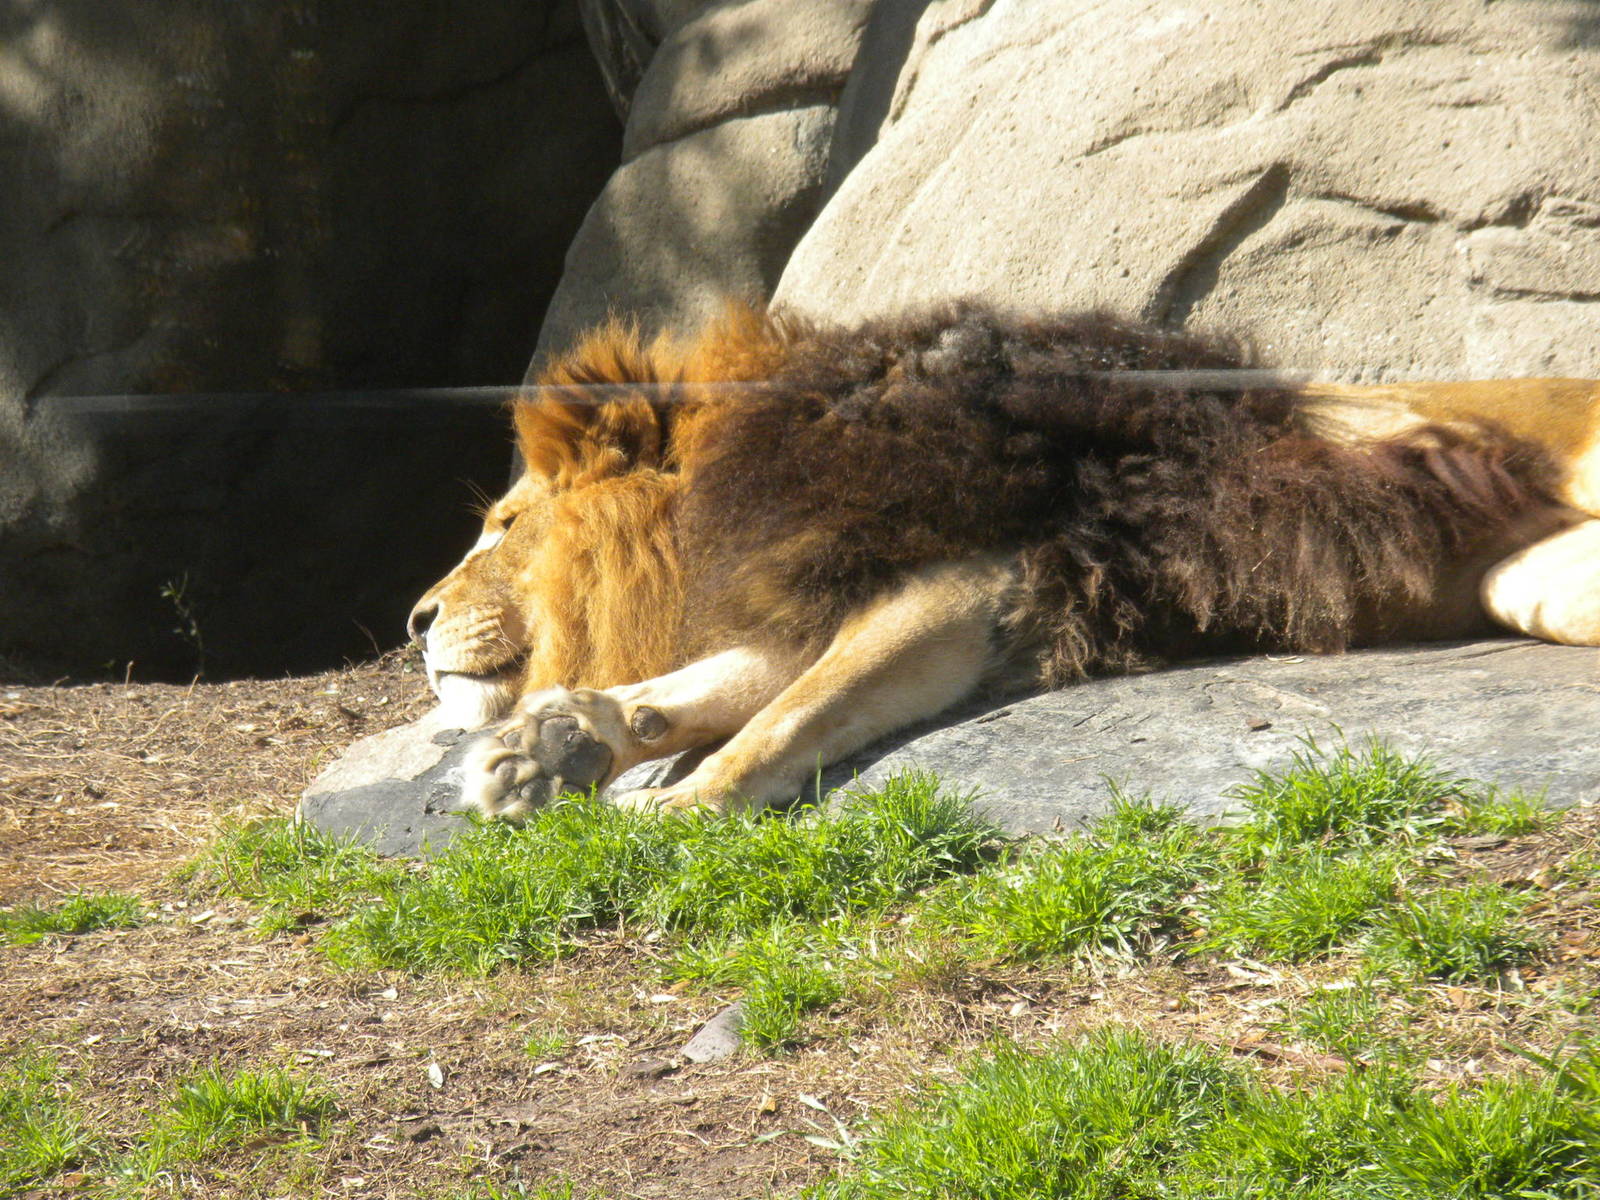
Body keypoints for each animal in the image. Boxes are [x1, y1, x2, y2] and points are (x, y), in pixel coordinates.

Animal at [407, 303, 1600, 820]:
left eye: (503, 525)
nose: (416, 623)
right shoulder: (832, 592)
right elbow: (709, 686)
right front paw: (552, 749)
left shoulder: (975, 579)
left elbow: (788, 713)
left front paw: (680, 811)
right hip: (1531, 582)